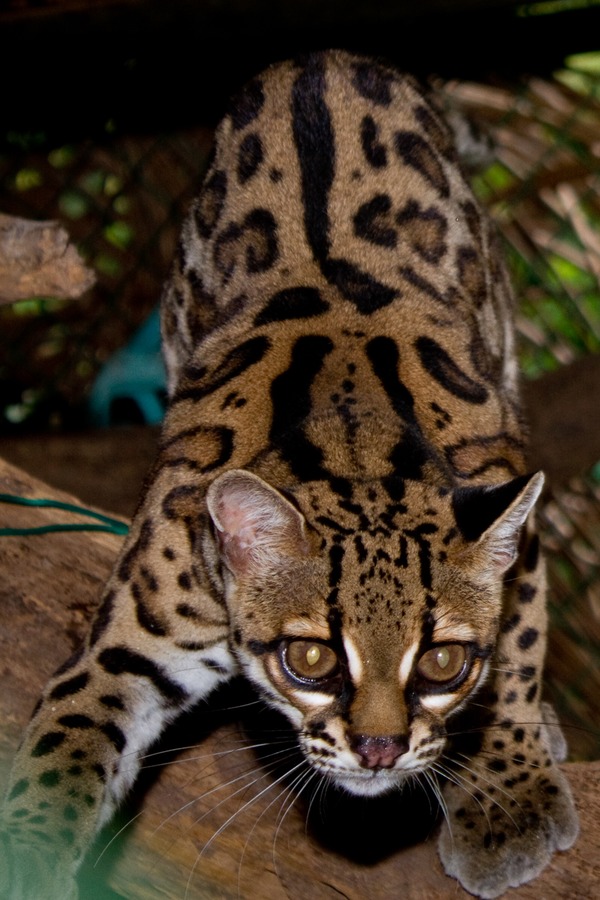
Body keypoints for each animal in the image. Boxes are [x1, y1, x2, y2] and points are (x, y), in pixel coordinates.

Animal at [1, 51, 580, 900]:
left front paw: (505, 794)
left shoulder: (509, 506)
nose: (380, 750)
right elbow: (61, 756)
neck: (354, 445)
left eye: (442, 663)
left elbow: (518, 649)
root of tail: (321, 60)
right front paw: (30, 859)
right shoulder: (126, 644)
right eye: (309, 660)